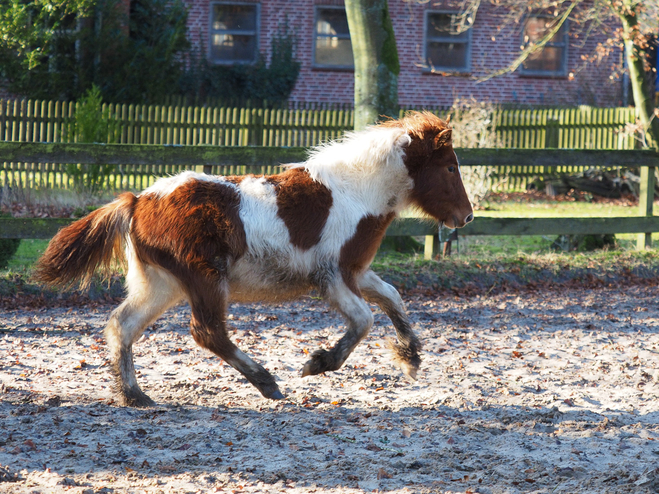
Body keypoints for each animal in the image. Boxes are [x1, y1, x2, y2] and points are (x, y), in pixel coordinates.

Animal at [34, 113, 474, 410]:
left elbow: (393, 298)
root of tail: (138, 200)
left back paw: (135, 395)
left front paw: (411, 358)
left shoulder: (356, 272)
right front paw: (318, 363)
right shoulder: (332, 277)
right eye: (451, 166)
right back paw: (266, 382)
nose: (467, 216)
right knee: (206, 332)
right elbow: (364, 320)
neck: (355, 192)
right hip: (205, 280)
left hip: (161, 284)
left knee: (121, 325)